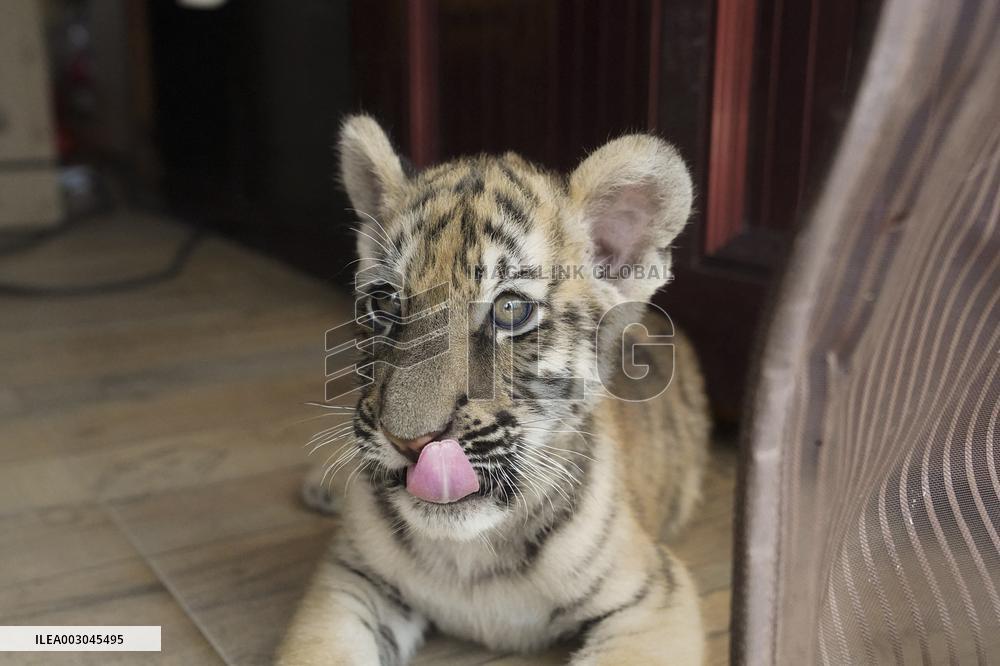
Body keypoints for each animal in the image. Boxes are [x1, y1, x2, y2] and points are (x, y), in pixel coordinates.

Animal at [276, 115, 710, 665]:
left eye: (510, 310)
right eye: (385, 303)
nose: (409, 443)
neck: (472, 550)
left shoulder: (652, 596)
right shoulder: (351, 577)